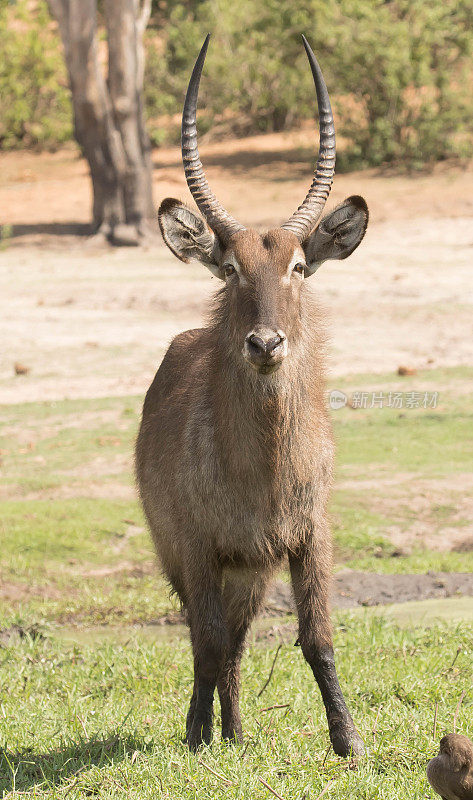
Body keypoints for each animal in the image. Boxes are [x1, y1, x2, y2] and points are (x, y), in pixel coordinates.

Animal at [135, 32, 366, 756]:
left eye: (297, 266)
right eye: (231, 267)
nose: (265, 343)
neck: (260, 469)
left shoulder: (308, 536)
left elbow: (317, 638)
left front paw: (348, 741)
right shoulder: (198, 548)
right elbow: (204, 645)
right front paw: (195, 737)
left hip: (253, 570)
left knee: (236, 641)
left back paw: (237, 730)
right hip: (192, 561)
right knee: (208, 641)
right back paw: (219, 730)